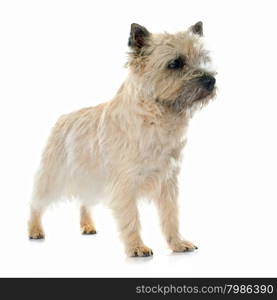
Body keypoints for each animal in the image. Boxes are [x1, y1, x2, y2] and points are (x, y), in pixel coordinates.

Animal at [29, 22, 217, 256]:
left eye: (203, 58)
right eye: (175, 63)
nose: (211, 80)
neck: (157, 116)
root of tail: (63, 118)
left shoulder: (168, 182)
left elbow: (171, 215)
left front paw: (177, 243)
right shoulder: (125, 183)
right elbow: (131, 218)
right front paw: (137, 247)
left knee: (84, 201)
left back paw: (88, 225)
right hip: (53, 175)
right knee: (36, 202)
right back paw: (34, 230)